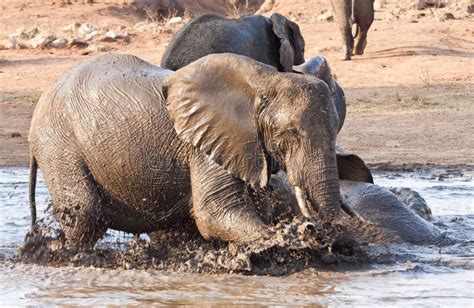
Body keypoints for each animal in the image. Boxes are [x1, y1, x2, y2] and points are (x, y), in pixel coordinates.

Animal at [27, 52, 342, 250]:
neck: (266, 80)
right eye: (289, 134)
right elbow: (215, 213)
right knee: (85, 215)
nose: (316, 226)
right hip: (57, 143)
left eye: (337, 128)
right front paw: (295, 239)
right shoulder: (205, 145)